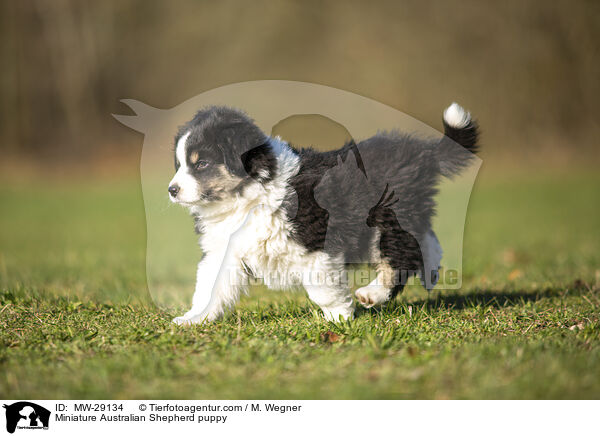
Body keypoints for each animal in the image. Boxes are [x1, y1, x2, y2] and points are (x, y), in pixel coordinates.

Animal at [168, 103, 478, 324]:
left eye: (202, 163)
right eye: (180, 164)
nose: (172, 190)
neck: (248, 195)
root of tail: (422, 154)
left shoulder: (316, 241)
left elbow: (321, 288)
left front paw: (339, 317)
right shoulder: (225, 249)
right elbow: (209, 287)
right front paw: (192, 319)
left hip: (387, 218)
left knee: (402, 256)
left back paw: (371, 294)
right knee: (425, 239)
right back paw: (431, 271)